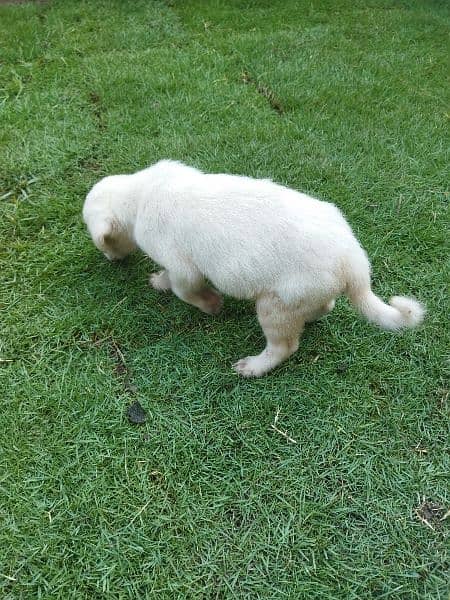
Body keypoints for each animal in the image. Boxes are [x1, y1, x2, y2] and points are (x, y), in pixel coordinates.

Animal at [82, 159, 424, 376]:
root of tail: (354, 262)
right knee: (324, 306)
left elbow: (185, 289)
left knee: (285, 346)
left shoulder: (183, 266)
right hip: (303, 295)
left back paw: (253, 367)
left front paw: (210, 304)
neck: (140, 193)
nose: (111, 260)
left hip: (276, 304)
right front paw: (160, 281)